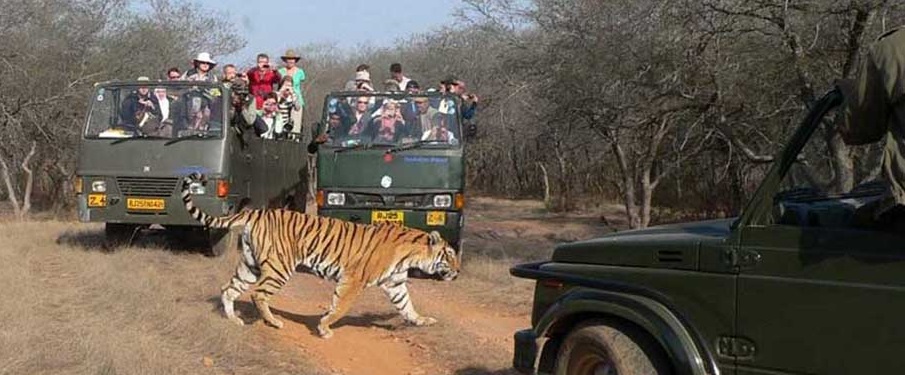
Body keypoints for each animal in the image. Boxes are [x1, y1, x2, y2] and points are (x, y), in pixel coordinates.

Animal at [178, 173, 460, 340]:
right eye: (450, 256)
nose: (458, 272)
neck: (411, 255)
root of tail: (257, 211)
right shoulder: (353, 281)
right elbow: (340, 307)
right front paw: (325, 328)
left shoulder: (396, 283)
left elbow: (407, 306)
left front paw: (423, 320)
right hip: (279, 268)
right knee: (258, 294)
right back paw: (275, 323)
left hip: (250, 265)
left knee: (228, 289)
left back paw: (234, 319)